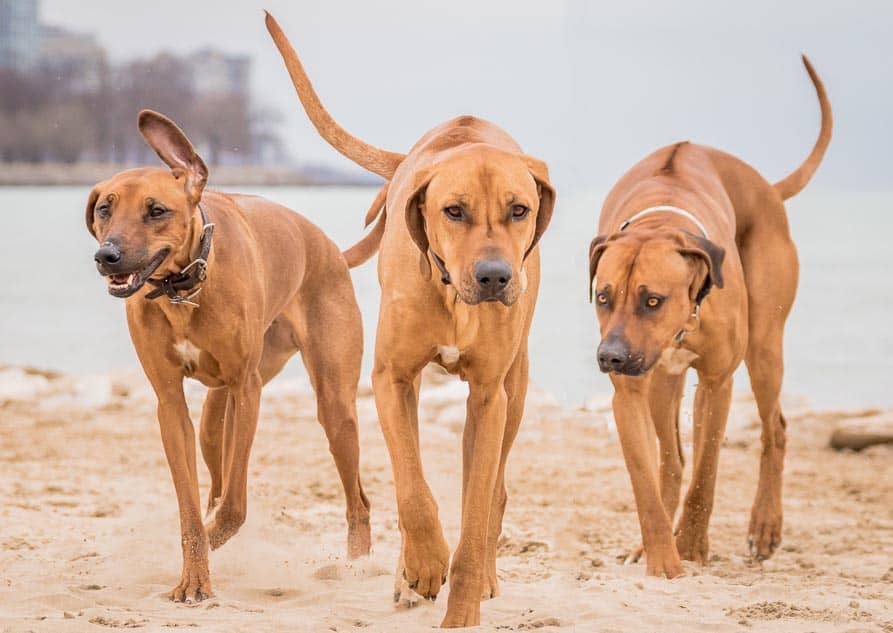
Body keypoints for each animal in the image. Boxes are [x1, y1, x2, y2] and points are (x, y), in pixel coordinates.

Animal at [85, 110, 372, 604]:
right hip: (212, 419)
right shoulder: (170, 403)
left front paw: (215, 539)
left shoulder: (247, 388)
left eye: (156, 211)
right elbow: (190, 508)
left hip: (333, 405)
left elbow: (235, 507)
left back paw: (355, 567)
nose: (108, 255)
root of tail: (331, 249)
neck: (183, 287)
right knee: (216, 471)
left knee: (358, 500)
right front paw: (194, 574)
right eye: (105, 208)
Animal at [264, 13, 556, 628]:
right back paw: (408, 572)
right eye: (453, 210)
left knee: (493, 491)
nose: (495, 277)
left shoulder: (489, 395)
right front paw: (422, 564)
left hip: (515, 391)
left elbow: (476, 508)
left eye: (519, 209)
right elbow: (412, 488)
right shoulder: (390, 378)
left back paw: (484, 573)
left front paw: (462, 605)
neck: (453, 297)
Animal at [584, 56, 828, 576]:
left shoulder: (718, 380)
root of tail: (766, 186)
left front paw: (692, 547)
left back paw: (765, 527)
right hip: (662, 381)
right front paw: (662, 554)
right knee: (671, 459)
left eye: (652, 300)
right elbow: (648, 480)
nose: (610, 357)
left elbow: (707, 470)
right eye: (604, 297)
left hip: (764, 345)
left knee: (774, 429)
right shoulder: (631, 390)